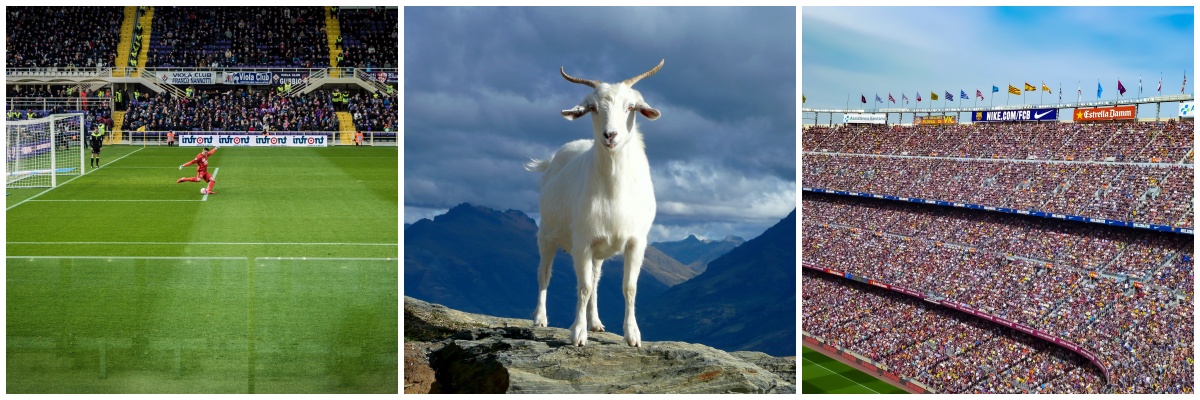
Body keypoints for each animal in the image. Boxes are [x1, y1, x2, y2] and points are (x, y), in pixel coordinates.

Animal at [523, 60, 663, 347]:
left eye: (630, 107)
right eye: (593, 108)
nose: (610, 135)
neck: (613, 190)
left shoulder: (636, 242)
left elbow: (628, 287)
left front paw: (633, 335)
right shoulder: (582, 243)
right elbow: (583, 287)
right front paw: (578, 333)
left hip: (599, 249)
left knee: (597, 280)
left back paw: (596, 322)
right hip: (546, 235)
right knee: (544, 274)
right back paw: (540, 318)